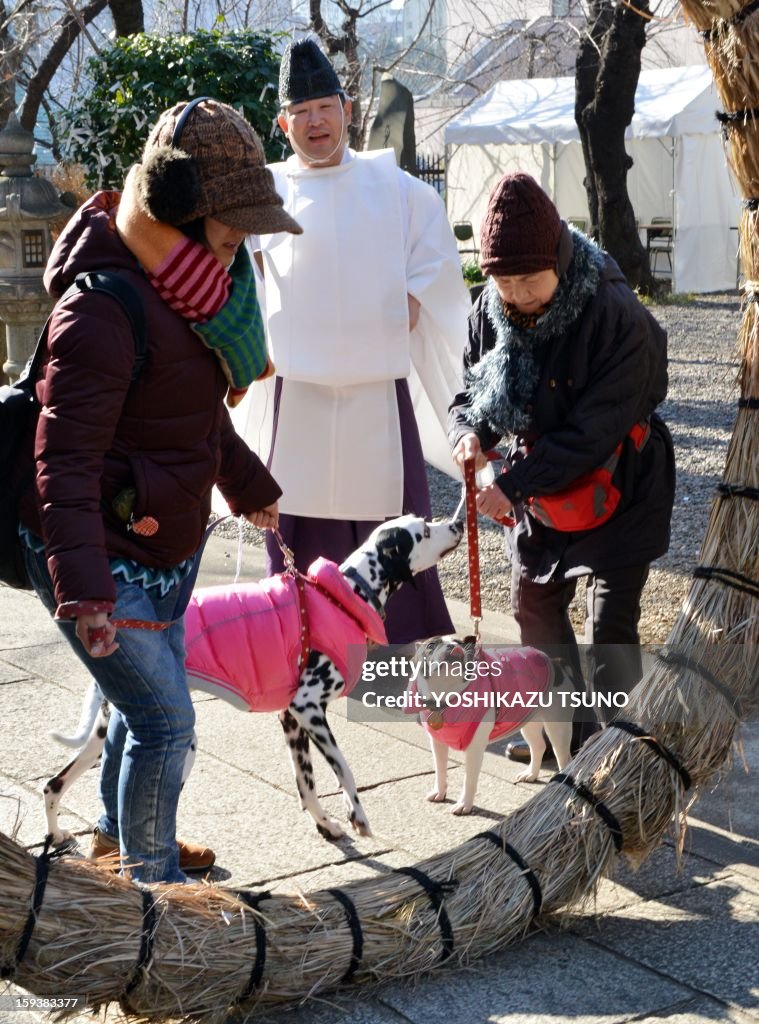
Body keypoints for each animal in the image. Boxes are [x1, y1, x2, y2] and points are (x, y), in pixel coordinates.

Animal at [47, 516, 465, 843]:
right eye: (424, 531)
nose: (459, 524)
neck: (344, 594)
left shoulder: (292, 719)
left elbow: (306, 784)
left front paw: (326, 825)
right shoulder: (308, 708)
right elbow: (344, 769)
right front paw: (357, 816)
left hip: (108, 735)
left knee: (54, 785)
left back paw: (56, 836)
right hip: (179, 746)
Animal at [411, 638, 569, 815]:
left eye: (461, 643)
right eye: (431, 645)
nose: (453, 646)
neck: (446, 697)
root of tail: (555, 662)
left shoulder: (474, 749)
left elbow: (469, 778)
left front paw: (464, 804)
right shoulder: (438, 743)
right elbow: (440, 769)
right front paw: (439, 792)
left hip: (558, 728)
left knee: (563, 756)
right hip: (529, 720)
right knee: (538, 746)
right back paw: (531, 774)